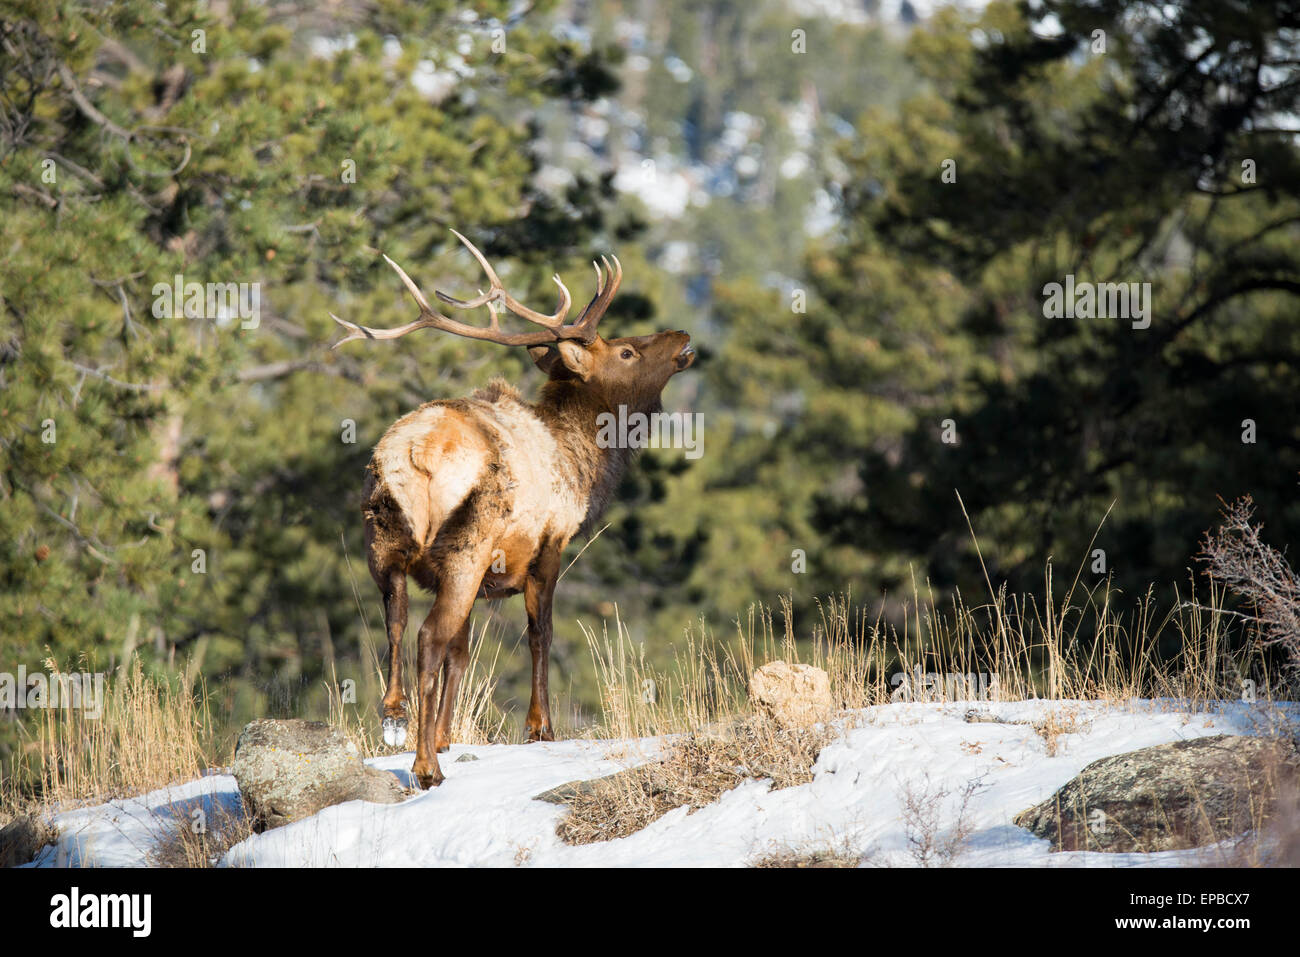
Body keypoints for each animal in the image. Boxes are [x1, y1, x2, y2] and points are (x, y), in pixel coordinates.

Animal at [330, 230, 696, 789]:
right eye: (628, 350)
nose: (681, 335)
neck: (584, 464)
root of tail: (413, 455)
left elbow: (461, 654)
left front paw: (445, 734)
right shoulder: (550, 544)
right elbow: (539, 634)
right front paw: (540, 728)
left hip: (384, 543)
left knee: (395, 625)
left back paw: (396, 719)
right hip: (468, 544)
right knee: (427, 637)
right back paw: (426, 768)